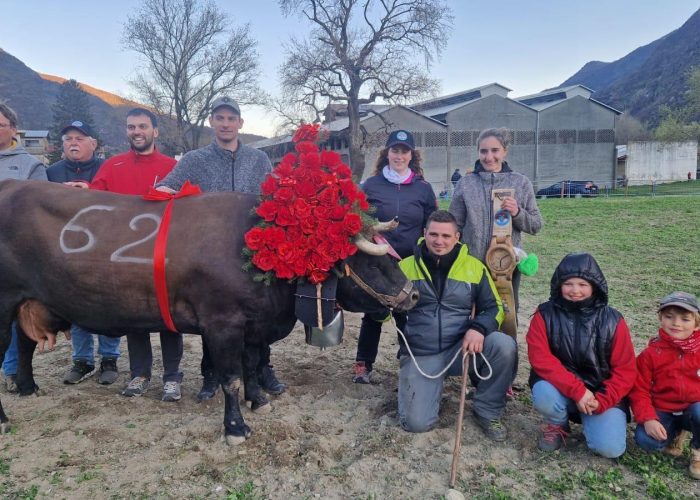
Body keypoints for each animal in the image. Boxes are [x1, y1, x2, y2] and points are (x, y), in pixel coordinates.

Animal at [0, 178, 416, 444]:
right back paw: (5, 417)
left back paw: (28, 386)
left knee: (24, 343)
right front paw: (235, 428)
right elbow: (230, 377)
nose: (412, 295)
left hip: (27, 302)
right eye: (372, 263)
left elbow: (252, 365)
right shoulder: (223, 324)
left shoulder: (252, 325)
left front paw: (259, 400)